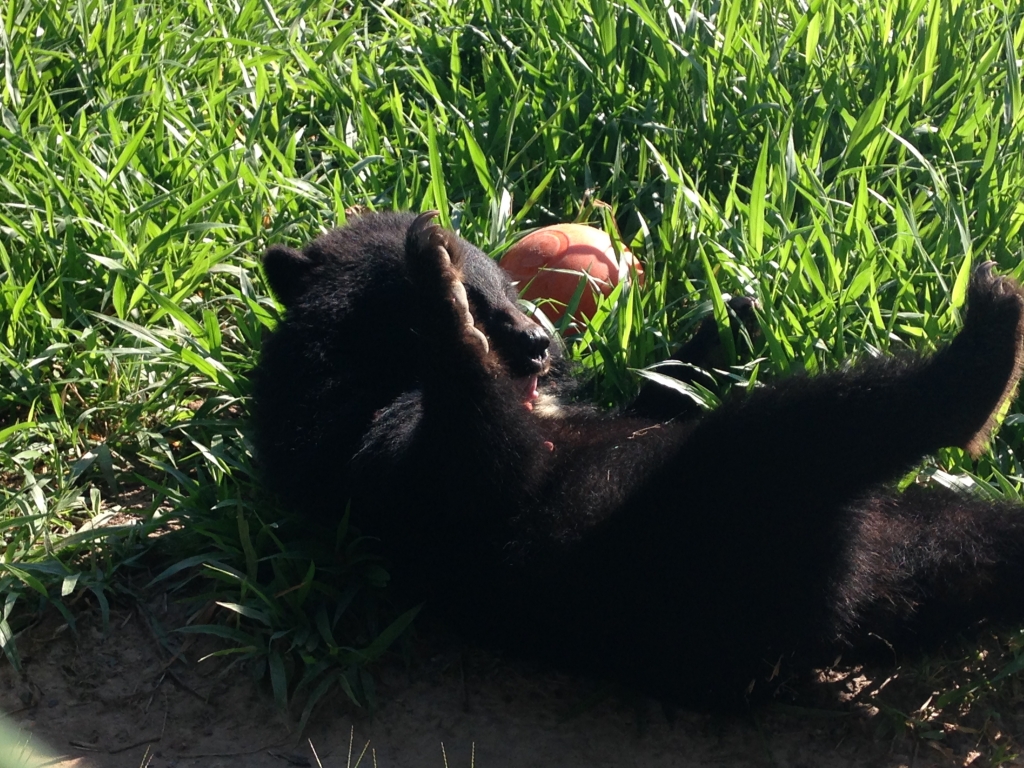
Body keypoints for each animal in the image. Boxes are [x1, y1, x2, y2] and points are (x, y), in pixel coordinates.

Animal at [251, 211, 1024, 708]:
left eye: (504, 282)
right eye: (483, 296)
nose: (541, 344)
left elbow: (656, 399)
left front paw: (733, 313)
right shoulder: (362, 460)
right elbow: (468, 469)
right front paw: (441, 295)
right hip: (715, 525)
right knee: (804, 431)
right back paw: (984, 354)